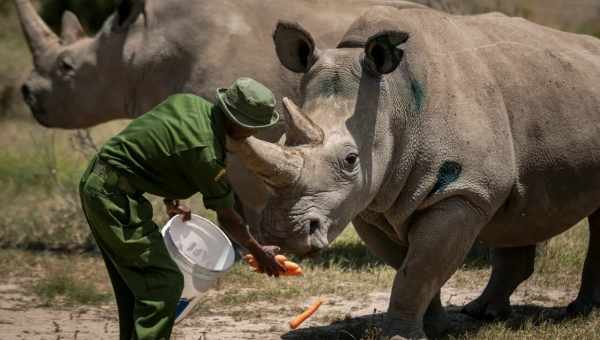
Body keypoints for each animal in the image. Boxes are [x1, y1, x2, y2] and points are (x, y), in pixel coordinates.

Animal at [229, 4, 600, 338]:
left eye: (350, 159)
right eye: (285, 141)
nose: (282, 233)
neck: (393, 101)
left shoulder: (462, 191)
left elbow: (419, 270)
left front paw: (402, 336)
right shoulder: (371, 202)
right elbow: (410, 268)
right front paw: (434, 329)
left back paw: (579, 313)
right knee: (519, 207)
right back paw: (483, 313)